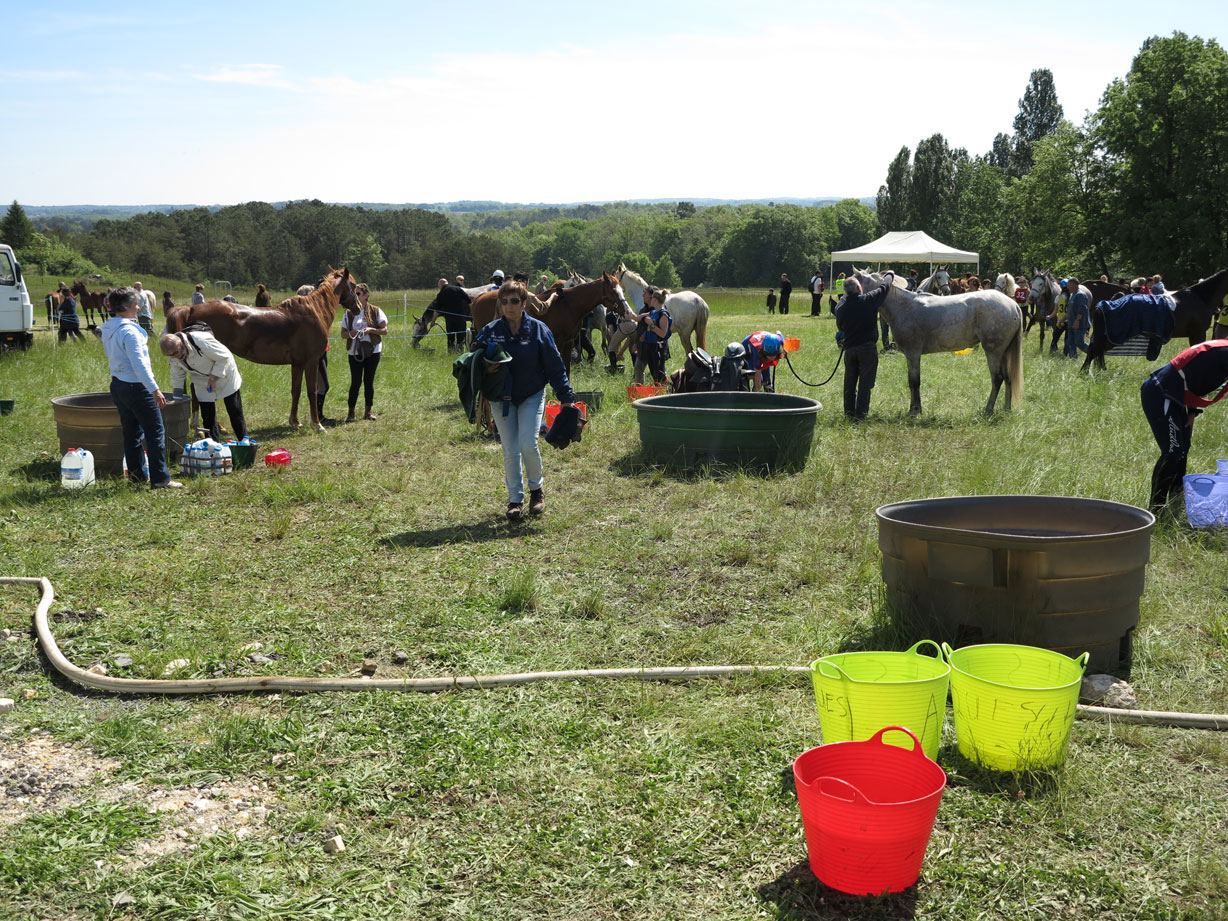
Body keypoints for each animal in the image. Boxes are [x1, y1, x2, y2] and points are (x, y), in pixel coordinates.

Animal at [164, 268, 356, 432]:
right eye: (353, 286)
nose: (358, 307)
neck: (314, 311)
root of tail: (191, 308)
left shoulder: (297, 364)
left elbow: (296, 391)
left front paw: (295, 422)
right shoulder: (311, 361)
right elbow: (312, 391)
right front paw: (316, 424)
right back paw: (205, 426)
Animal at [464, 272, 628, 373]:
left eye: (621, 289)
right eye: (613, 291)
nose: (626, 309)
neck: (569, 305)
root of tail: (478, 298)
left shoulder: (569, 342)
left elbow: (567, 367)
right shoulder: (559, 342)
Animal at [849, 265, 1021, 412]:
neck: (903, 306)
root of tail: (1012, 304)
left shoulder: (913, 353)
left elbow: (914, 381)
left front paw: (914, 410)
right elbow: (912, 382)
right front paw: (916, 408)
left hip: (993, 351)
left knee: (997, 379)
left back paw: (989, 409)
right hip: (1004, 352)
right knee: (1008, 378)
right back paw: (1006, 409)